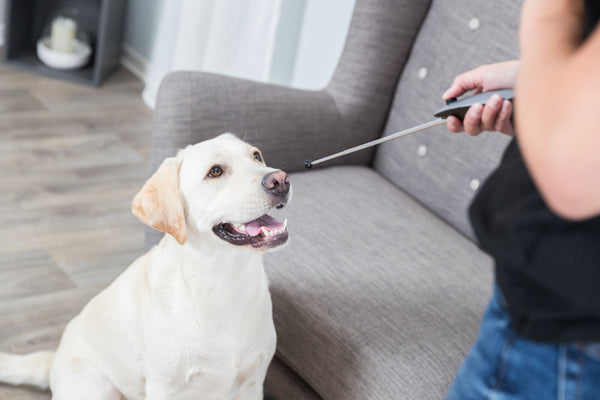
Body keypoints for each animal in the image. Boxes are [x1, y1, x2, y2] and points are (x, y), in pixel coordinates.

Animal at [0, 133, 290, 398]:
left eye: (256, 156)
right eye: (215, 171)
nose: (280, 180)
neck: (223, 279)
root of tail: (55, 361)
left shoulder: (252, 383)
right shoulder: (165, 387)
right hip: (99, 386)